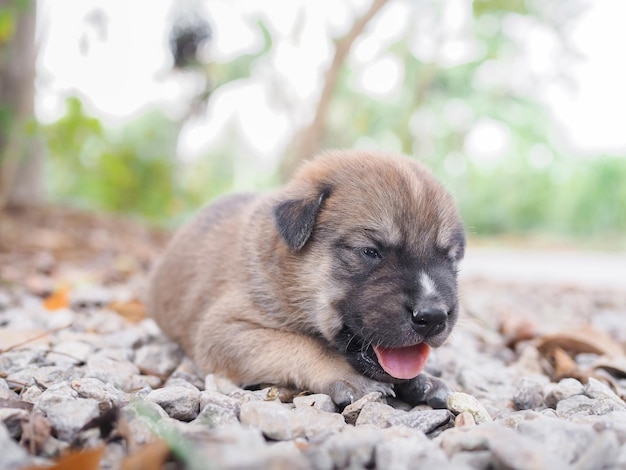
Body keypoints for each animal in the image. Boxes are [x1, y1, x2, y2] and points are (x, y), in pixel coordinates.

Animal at [145, 151, 464, 408]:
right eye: (370, 252)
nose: (433, 317)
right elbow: (304, 344)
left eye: (450, 258)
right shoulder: (222, 329)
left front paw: (423, 379)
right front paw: (346, 375)